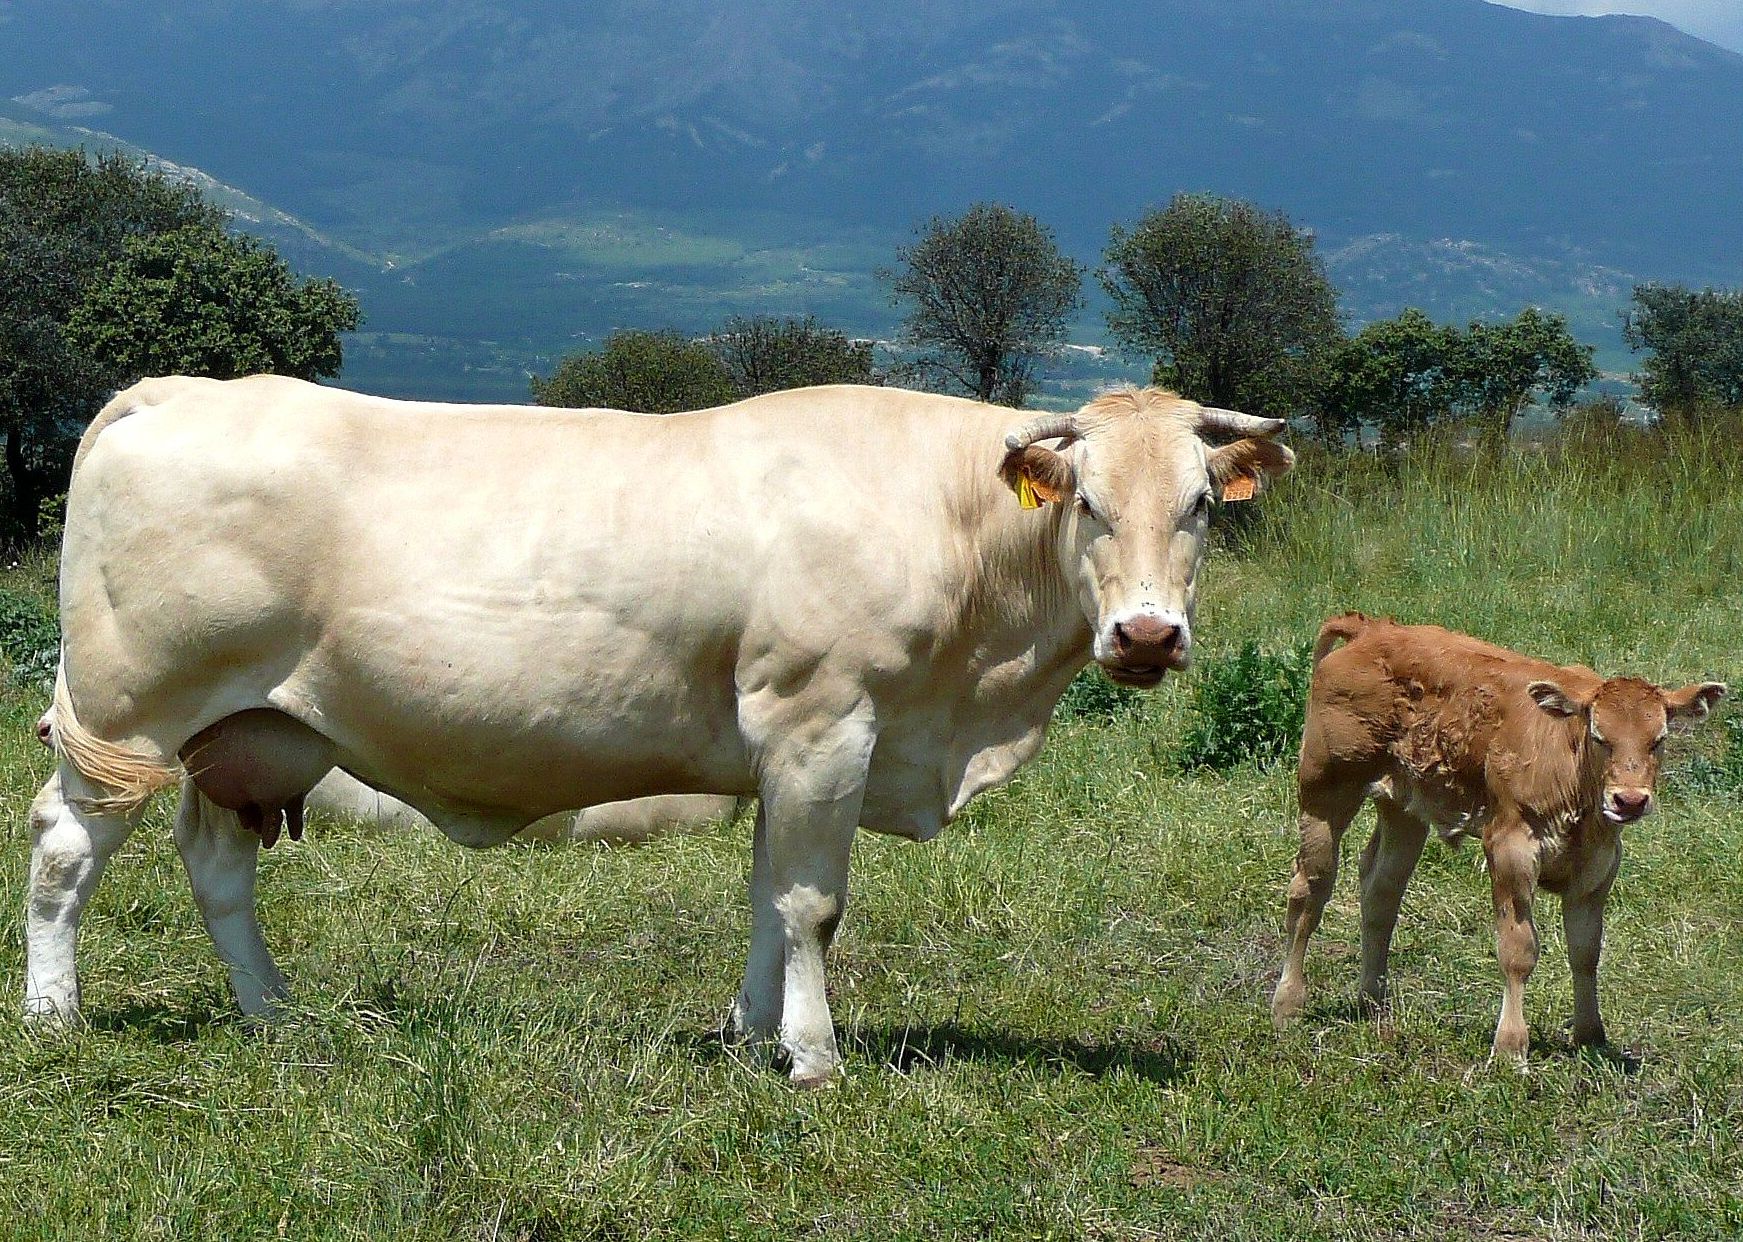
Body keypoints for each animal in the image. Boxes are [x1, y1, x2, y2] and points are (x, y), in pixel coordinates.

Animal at [30, 375, 1292, 1084]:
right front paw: (815, 1060)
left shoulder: (788, 745)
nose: (1145, 634)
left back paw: (274, 1014)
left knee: (217, 869)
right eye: (1090, 505)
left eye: (1199, 507)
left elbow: (766, 898)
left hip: (245, 732)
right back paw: (53, 1016)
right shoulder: (825, 719)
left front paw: (749, 1033)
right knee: (62, 852)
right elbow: (811, 905)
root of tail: (176, 388)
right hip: (129, 712)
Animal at [1270, 613, 1725, 1063]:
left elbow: (1586, 951)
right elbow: (1518, 948)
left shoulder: (1598, 866)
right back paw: (1288, 1004)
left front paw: (1590, 1037)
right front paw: (1510, 1046)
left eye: (1658, 741)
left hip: (1405, 808)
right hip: (1325, 791)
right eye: (1600, 737)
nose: (1629, 800)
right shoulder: (1510, 849)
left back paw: (1372, 1001)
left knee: (1381, 889)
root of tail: (1371, 628)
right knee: (1309, 891)